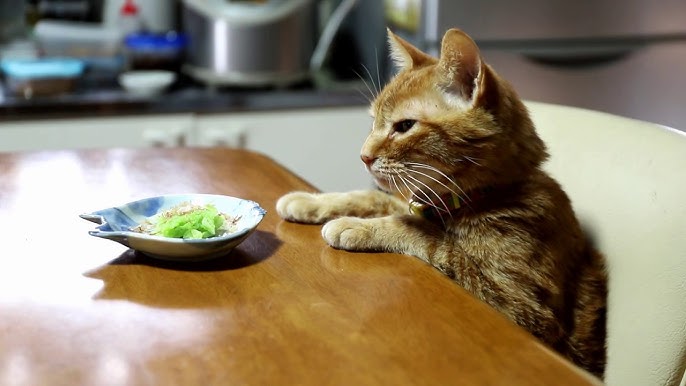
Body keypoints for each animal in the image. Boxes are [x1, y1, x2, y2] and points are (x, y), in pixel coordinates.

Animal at [274, 27, 608, 376]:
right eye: (373, 121)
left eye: (404, 126)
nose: (363, 156)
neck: (483, 195)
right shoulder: (412, 201)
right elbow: (371, 196)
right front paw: (308, 201)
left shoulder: (522, 310)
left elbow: (425, 235)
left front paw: (356, 227)